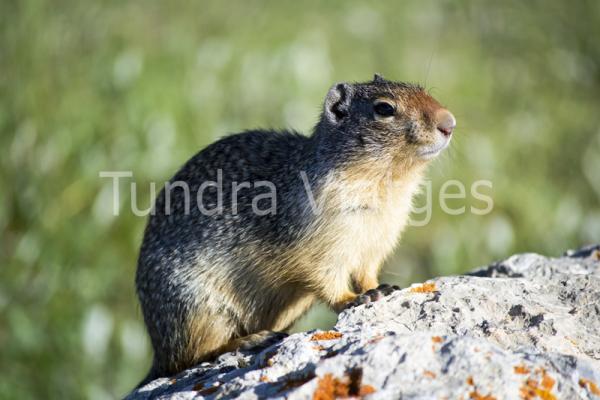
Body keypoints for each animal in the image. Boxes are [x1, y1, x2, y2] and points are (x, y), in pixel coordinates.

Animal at [135, 73, 454, 382]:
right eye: (384, 108)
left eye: (421, 89)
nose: (448, 122)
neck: (387, 185)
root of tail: (157, 353)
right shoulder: (314, 246)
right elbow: (326, 279)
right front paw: (354, 298)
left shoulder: (376, 242)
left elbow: (366, 272)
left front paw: (380, 288)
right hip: (197, 308)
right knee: (190, 357)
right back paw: (251, 339)